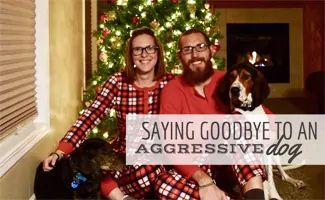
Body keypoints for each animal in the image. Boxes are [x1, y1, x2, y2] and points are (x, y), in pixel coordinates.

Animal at [215, 62, 304, 200]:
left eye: (246, 76)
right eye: (231, 76)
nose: (234, 90)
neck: (248, 112)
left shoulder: (266, 150)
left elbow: (270, 180)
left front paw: (275, 195)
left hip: (275, 153)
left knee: (282, 173)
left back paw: (294, 181)